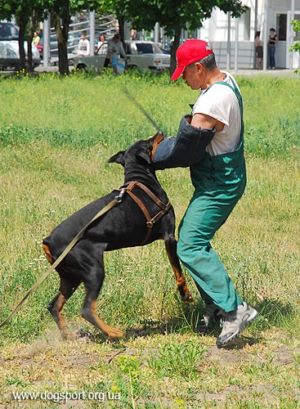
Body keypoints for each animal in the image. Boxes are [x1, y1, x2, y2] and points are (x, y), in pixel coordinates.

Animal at [42, 132, 192, 340]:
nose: (159, 133)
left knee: (54, 305)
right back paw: (113, 332)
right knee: (86, 309)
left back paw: (68, 335)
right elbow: (178, 271)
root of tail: (48, 241)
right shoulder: (169, 236)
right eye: (148, 141)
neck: (141, 179)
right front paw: (186, 294)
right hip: (93, 270)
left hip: (70, 276)